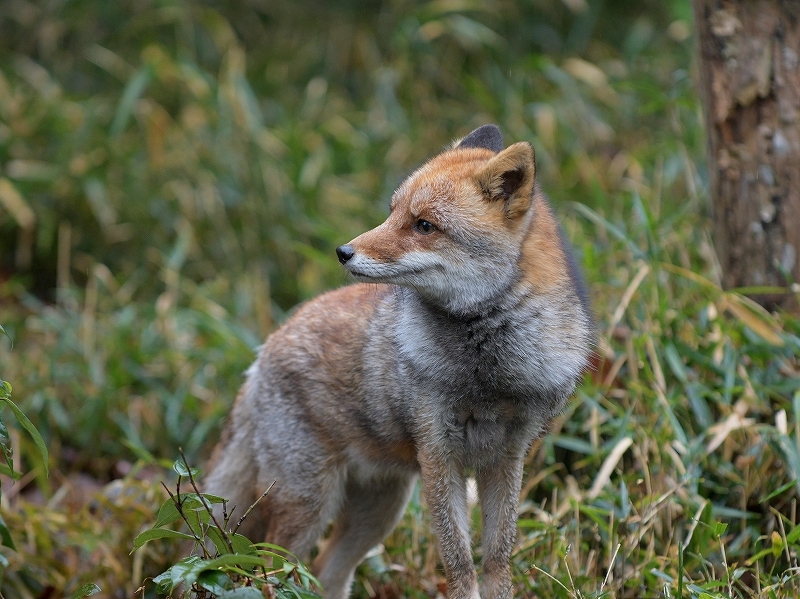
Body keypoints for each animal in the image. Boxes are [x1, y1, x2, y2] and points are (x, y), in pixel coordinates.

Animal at [206, 125, 592, 599]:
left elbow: (497, 562)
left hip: (379, 508)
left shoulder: (507, 457)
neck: (486, 377)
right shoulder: (439, 455)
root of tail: (266, 347)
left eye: (424, 225)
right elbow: (460, 565)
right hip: (309, 505)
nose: (342, 251)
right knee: (270, 574)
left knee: (328, 572)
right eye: (392, 214)